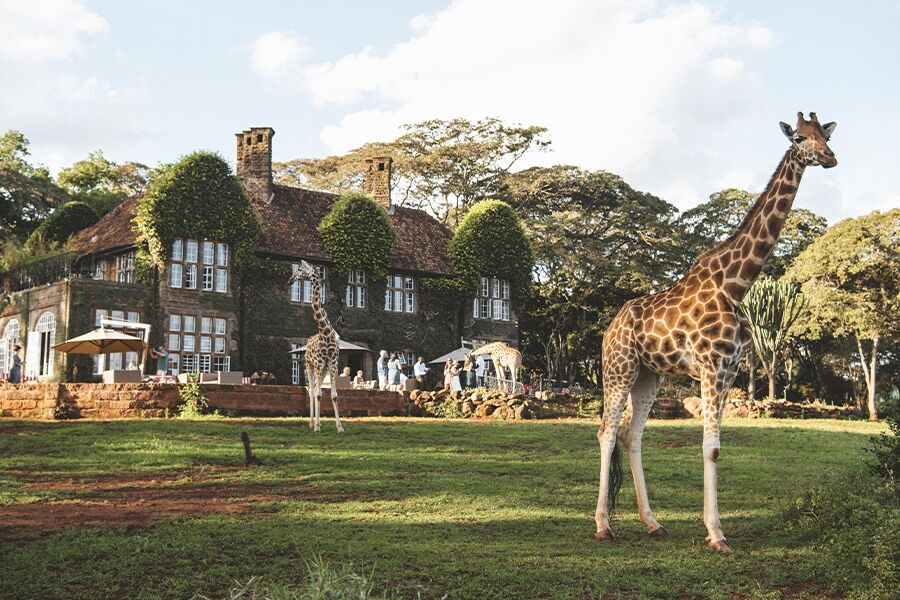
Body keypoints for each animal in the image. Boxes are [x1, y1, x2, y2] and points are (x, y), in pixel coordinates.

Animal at [288, 260, 344, 433]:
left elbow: (334, 395)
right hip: (310, 365)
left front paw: (340, 427)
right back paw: (312, 423)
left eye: (300, 269)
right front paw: (318, 426)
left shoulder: (332, 363)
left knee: (314, 388)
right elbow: (318, 394)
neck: (325, 331)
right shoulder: (318, 363)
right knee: (312, 390)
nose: (290, 280)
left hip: (323, 369)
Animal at [594, 112, 837, 552]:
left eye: (824, 135)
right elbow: (710, 448)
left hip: (650, 376)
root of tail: (610, 327)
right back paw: (603, 525)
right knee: (606, 432)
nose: (830, 158)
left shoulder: (729, 370)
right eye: (798, 138)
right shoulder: (710, 368)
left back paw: (653, 523)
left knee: (631, 436)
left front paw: (714, 530)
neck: (737, 284)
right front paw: (716, 534)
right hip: (618, 368)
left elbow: (716, 448)